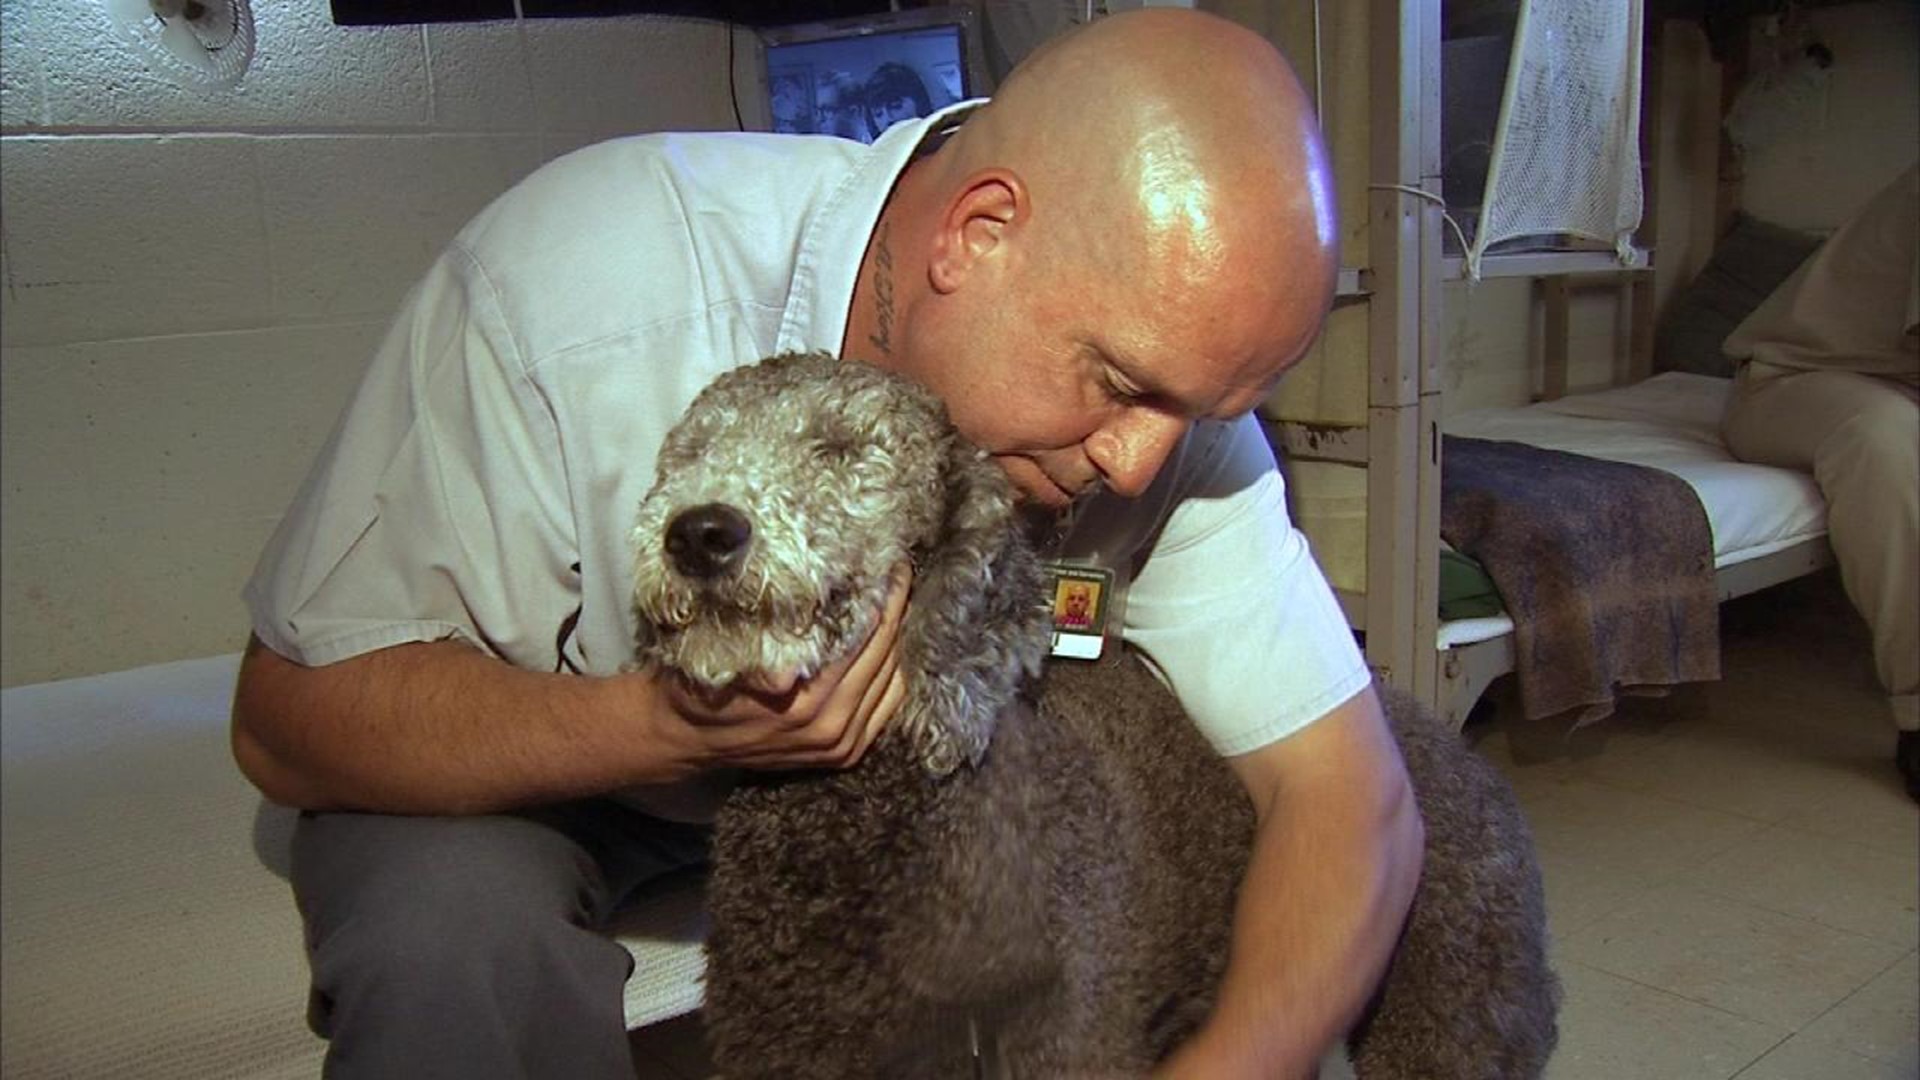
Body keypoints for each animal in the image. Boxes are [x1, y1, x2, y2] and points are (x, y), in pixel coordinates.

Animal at [629, 349, 1559, 1068]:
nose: (700, 532)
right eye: (688, 453)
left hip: (1446, 1010)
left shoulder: (1065, 1035)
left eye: (841, 447)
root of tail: (1463, 757)